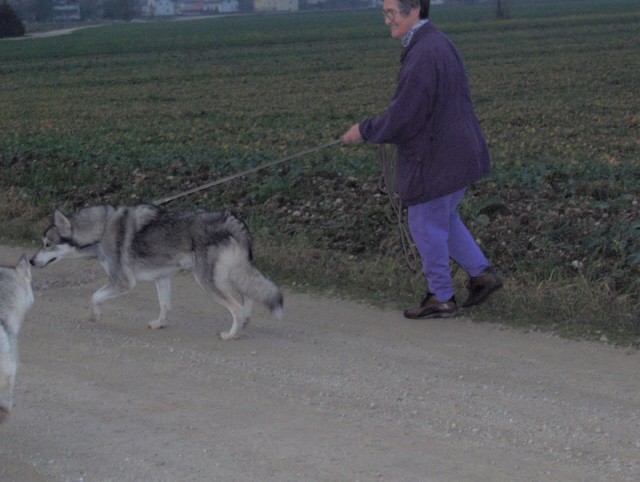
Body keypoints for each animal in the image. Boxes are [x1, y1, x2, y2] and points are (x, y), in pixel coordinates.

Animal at [30, 205, 282, 340]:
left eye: (47, 244)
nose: (31, 261)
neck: (100, 231)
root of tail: (232, 220)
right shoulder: (162, 278)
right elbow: (164, 304)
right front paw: (160, 324)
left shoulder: (122, 283)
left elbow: (93, 297)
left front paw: (96, 316)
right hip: (230, 275)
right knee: (247, 297)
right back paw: (245, 322)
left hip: (208, 281)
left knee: (237, 306)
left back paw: (232, 334)